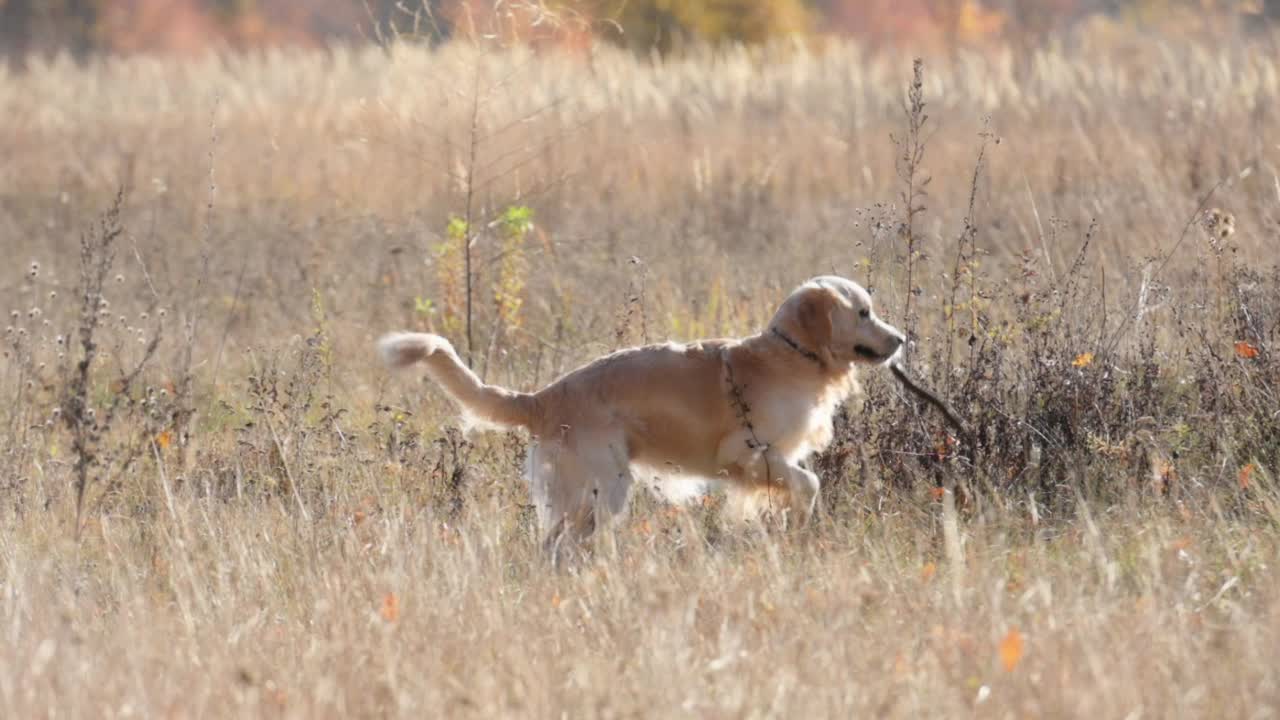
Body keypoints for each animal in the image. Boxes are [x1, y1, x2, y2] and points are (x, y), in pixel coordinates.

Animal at [376, 272, 901, 548]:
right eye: (863, 313)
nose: (901, 340)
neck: (793, 355)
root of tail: (542, 398)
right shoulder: (748, 454)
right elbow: (808, 482)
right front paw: (800, 526)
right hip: (603, 486)